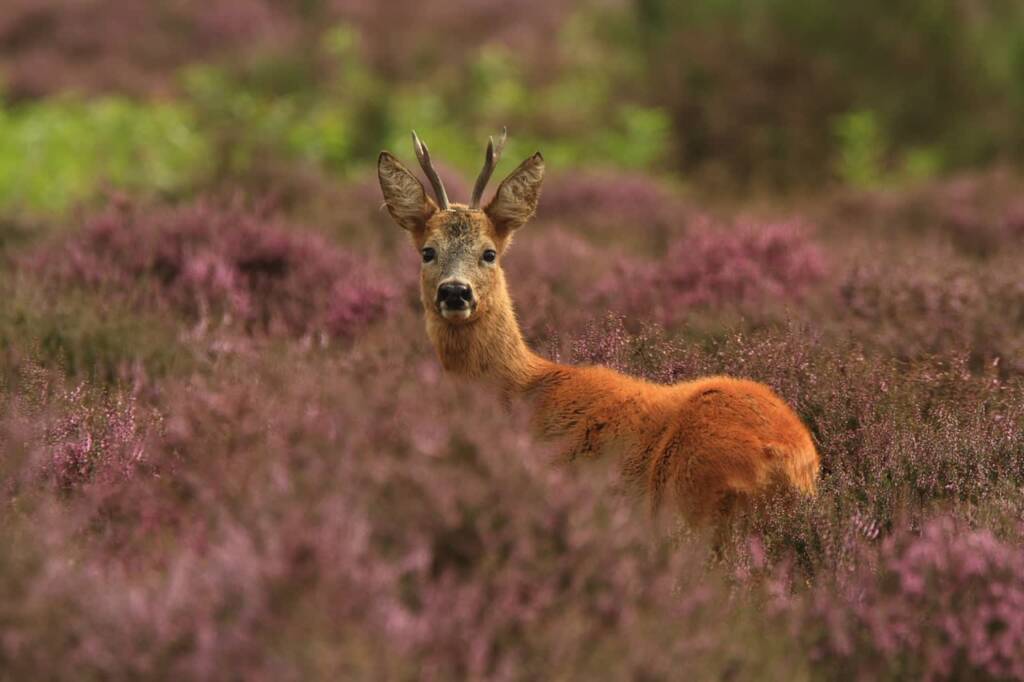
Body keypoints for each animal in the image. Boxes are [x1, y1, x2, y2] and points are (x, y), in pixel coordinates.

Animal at [377, 130, 820, 526]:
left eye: (489, 253)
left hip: (695, 497)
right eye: (427, 251)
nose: (455, 292)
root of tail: (794, 459)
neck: (520, 389)